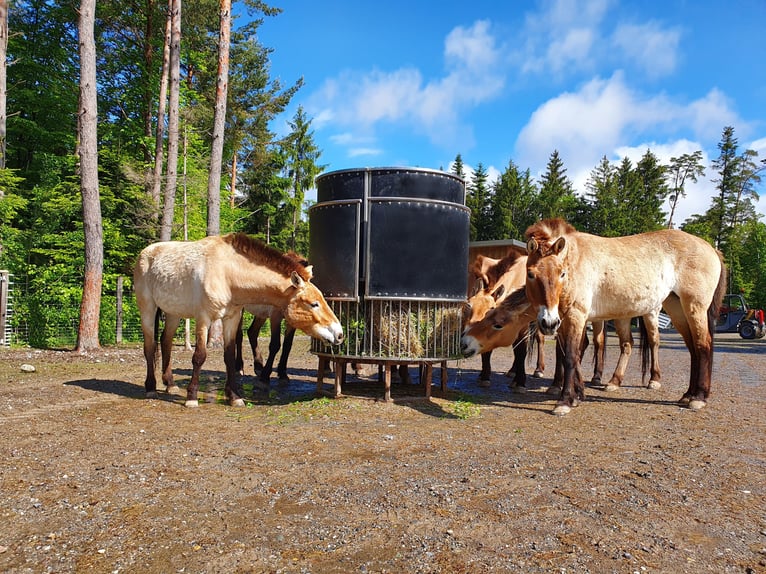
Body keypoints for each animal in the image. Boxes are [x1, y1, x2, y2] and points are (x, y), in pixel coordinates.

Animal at [135, 234, 344, 410]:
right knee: (150, 347)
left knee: (165, 342)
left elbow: (229, 355)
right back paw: (151, 387)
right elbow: (199, 356)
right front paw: (192, 397)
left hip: (173, 313)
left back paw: (169, 384)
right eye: (313, 304)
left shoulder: (231, 317)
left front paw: (234, 396)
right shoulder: (203, 318)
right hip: (148, 309)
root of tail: (145, 252)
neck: (226, 272)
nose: (339, 334)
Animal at [524, 220, 728, 418]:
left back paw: (698, 397)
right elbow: (570, 355)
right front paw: (577, 395)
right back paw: (687, 395)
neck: (574, 260)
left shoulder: (576, 316)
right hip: (676, 308)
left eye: (561, 273)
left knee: (702, 345)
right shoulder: (564, 320)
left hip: (693, 307)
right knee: (693, 348)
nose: (548, 323)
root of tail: (711, 249)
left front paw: (564, 401)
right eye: (531, 274)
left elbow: (570, 356)